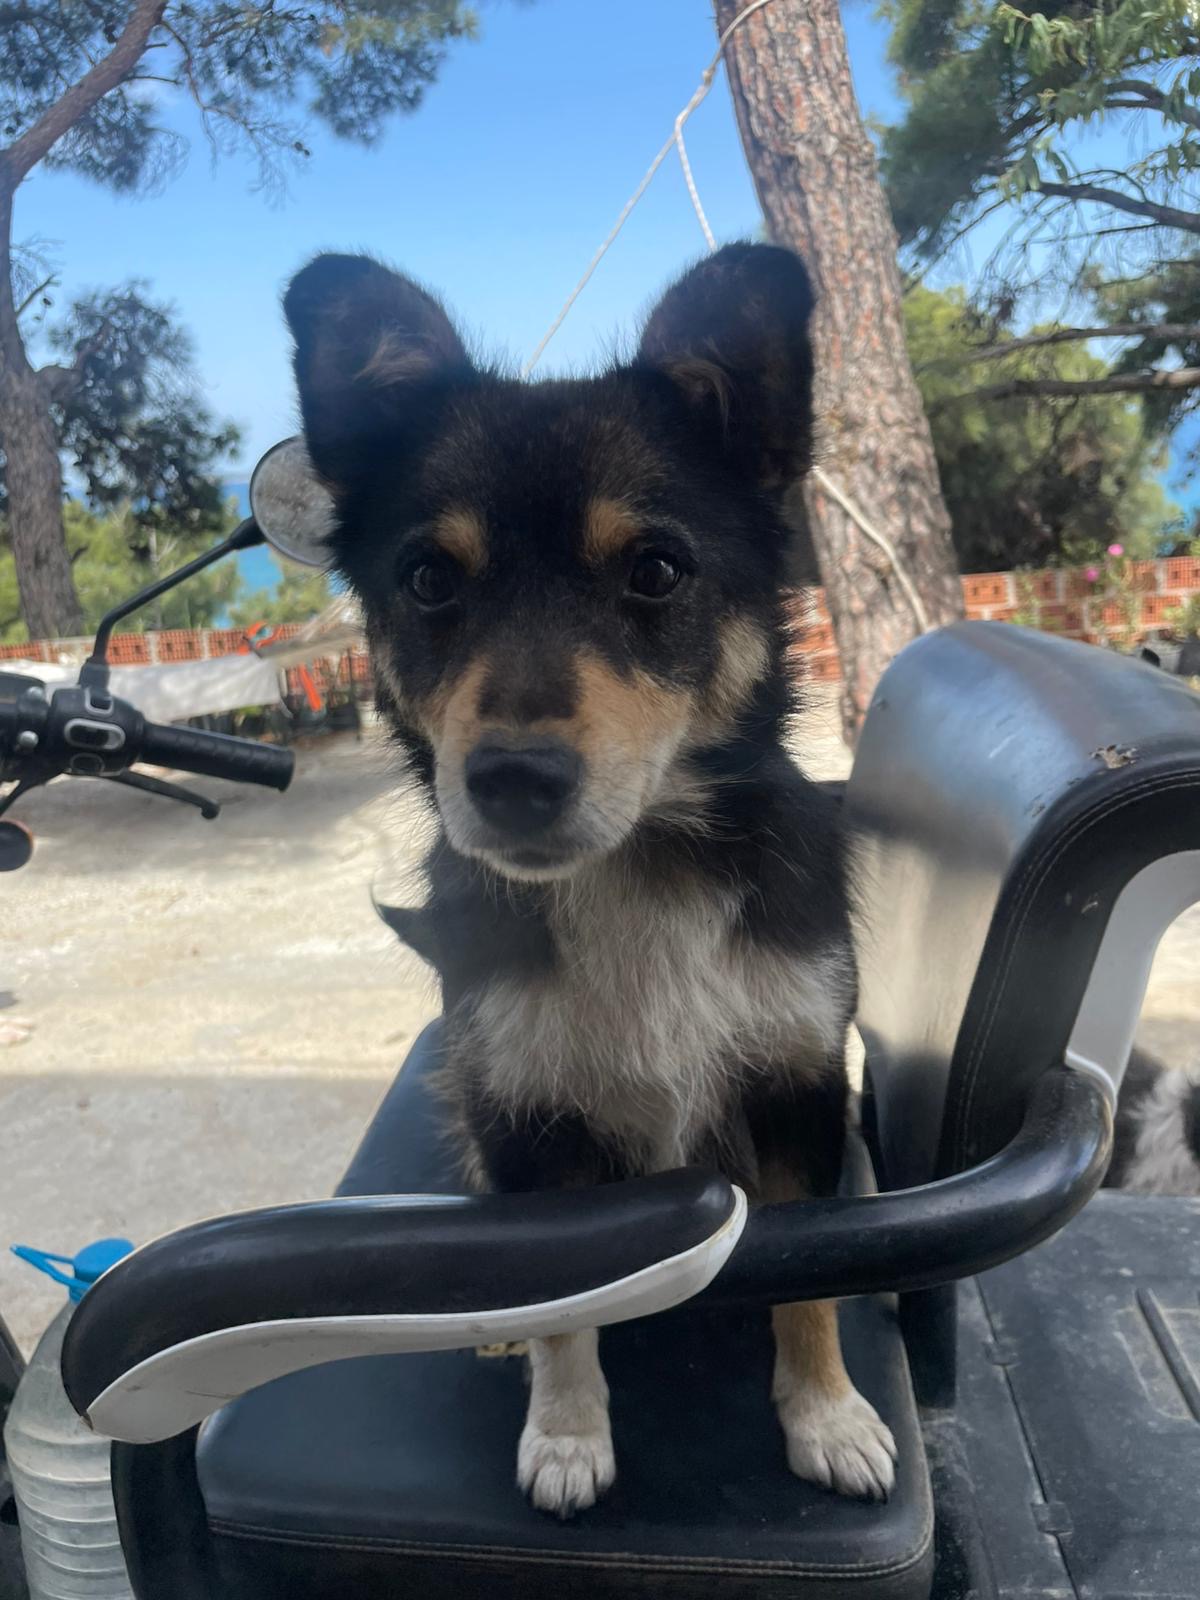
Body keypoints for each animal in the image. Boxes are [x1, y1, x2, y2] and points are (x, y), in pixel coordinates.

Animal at [282, 242, 896, 1517]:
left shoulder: (802, 1090)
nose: (513, 778)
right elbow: (563, 1311)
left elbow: (808, 1281)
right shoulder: (526, 1118)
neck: (639, 873)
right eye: (429, 578)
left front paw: (826, 1413)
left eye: (656, 569)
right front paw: (566, 1432)